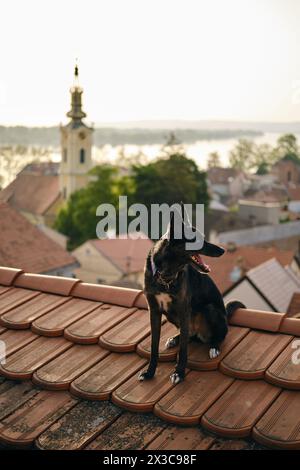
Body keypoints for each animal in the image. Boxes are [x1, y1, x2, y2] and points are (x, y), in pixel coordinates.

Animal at [138, 204, 244, 384]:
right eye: (196, 239)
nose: (222, 250)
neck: (166, 276)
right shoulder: (154, 311)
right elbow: (153, 346)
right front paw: (150, 372)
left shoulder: (183, 309)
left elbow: (184, 351)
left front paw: (179, 373)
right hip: (171, 316)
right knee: (188, 336)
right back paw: (175, 339)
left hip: (210, 310)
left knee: (219, 335)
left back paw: (214, 347)